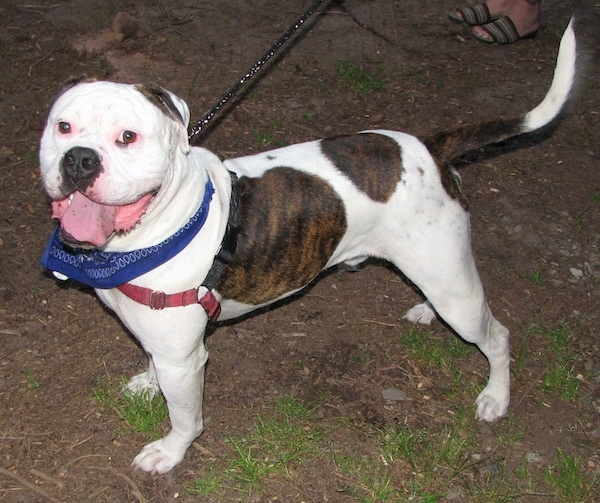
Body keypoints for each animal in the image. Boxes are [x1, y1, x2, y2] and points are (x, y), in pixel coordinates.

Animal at [38, 22, 576, 472]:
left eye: (128, 137)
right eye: (63, 128)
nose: (80, 159)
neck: (156, 227)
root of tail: (429, 146)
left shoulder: (186, 360)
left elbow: (186, 417)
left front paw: (171, 452)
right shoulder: (165, 343)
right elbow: (152, 361)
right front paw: (149, 383)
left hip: (458, 296)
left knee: (498, 336)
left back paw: (496, 397)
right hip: (440, 274)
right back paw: (426, 311)